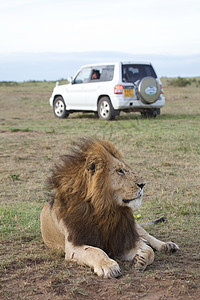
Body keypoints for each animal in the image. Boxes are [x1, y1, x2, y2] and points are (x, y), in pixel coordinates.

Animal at [40, 138, 178, 278]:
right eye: (120, 171)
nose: (143, 184)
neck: (106, 210)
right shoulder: (73, 245)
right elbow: (95, 251)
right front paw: (109, 266)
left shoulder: (121, 239)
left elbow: (150, 251)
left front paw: (141, 259)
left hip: (134, 226)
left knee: (148, 236)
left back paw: (167, 245)